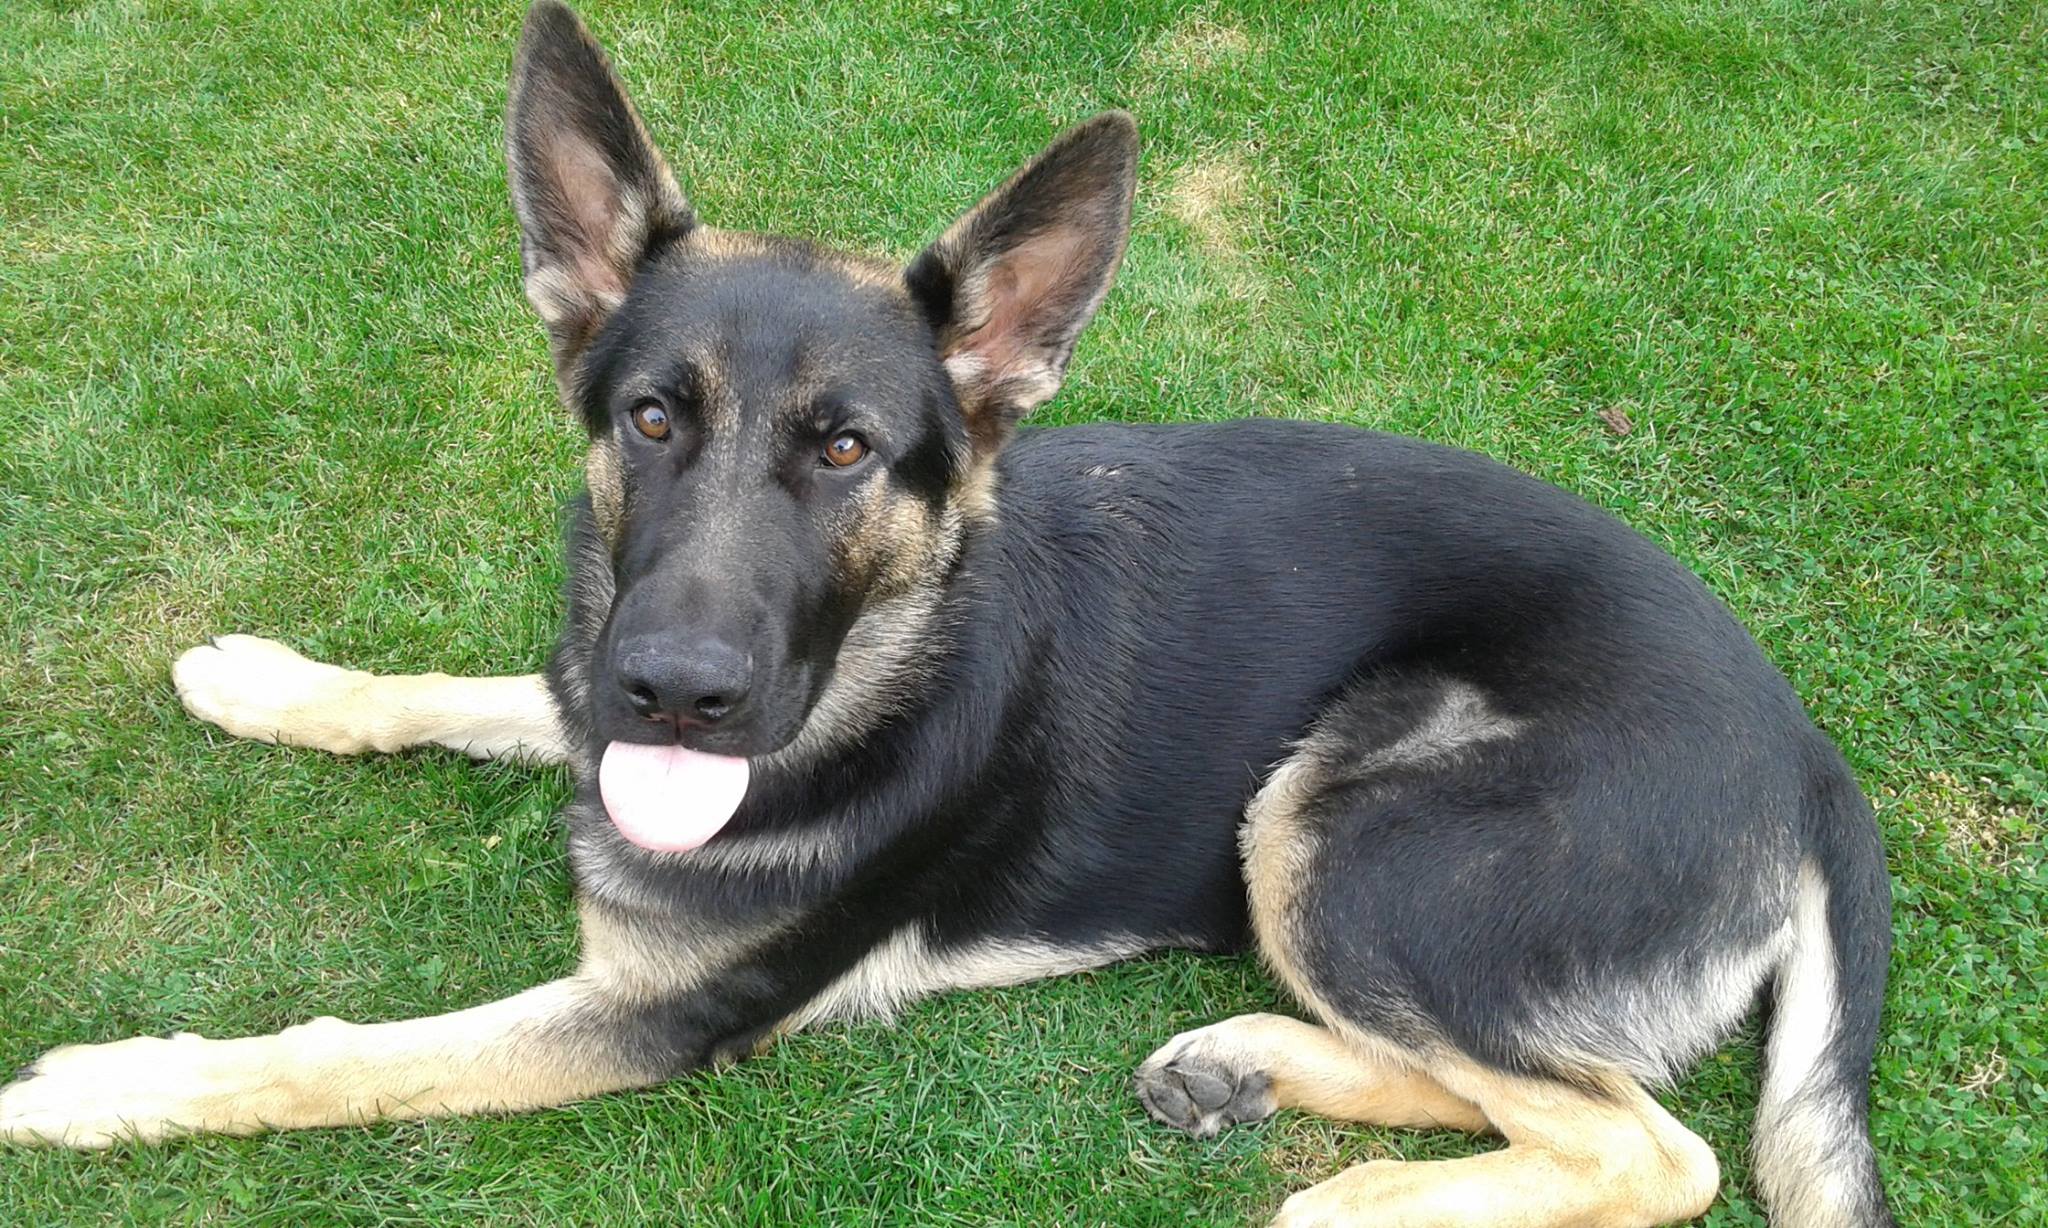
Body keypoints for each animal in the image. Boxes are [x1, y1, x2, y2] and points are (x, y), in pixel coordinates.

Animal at [0, 4, 1896, 1225]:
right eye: (651, 420)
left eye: (847, 450)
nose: (680, 689)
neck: (876, 672)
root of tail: (1810, 760)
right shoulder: (597, 679)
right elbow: (471, 689)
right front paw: (271, 679)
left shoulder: (647, 1013)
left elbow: (340, 1058)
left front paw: (110, 1087)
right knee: (1539, 1080)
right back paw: (1249, 1065)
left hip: (1343, 816)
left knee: (1649, 1147)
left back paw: (1343, 1196)